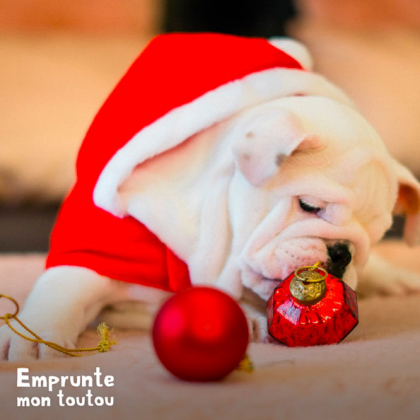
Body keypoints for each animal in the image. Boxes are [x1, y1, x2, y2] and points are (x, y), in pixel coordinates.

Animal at [0, 33, 420, 360]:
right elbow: (62, 289)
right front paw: (38, 336)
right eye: (309, 206)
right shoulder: (99, 249)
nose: (342, 253)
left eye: (376, 236)